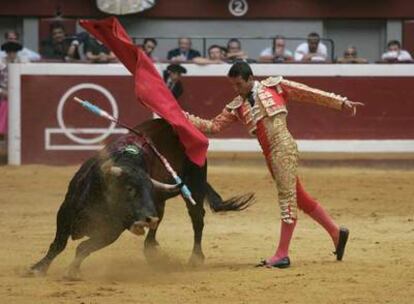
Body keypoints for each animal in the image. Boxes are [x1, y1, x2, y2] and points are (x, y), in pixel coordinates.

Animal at [29, 118, 252, 278]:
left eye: (147, 190)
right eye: (129, 189)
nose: (147, 219)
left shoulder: (112, 230)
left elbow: (83, 248)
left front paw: (72, 272)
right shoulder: (66, 212)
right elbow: (58, 244)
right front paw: (38, 269)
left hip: (194, 185)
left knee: (197, 219)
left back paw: (195, 258)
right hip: (162, 201)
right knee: (158, 224)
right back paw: (152, 249)